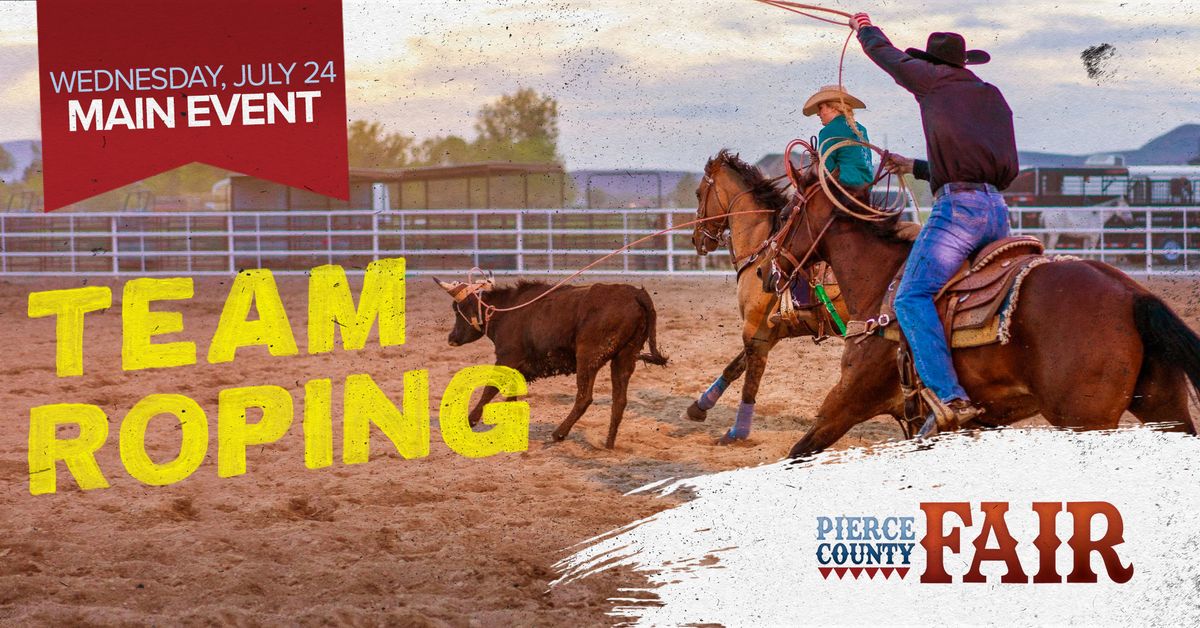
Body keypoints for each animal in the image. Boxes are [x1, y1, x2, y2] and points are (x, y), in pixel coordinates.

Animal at [686, 151, 854, 446]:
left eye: (698, 193)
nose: (697, 240)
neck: (761, 247)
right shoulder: (770, 332)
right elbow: (735, 367)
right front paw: (700, 405)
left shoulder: (756, 330)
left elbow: (750, 381)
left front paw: (737, 433)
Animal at [758, 157, 1200, 456]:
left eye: (786, 213)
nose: (762, 269)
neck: (881, 285)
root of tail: (1133, 295)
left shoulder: (846, 402)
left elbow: (798, 453)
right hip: (1164, 406)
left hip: (1085, 420)